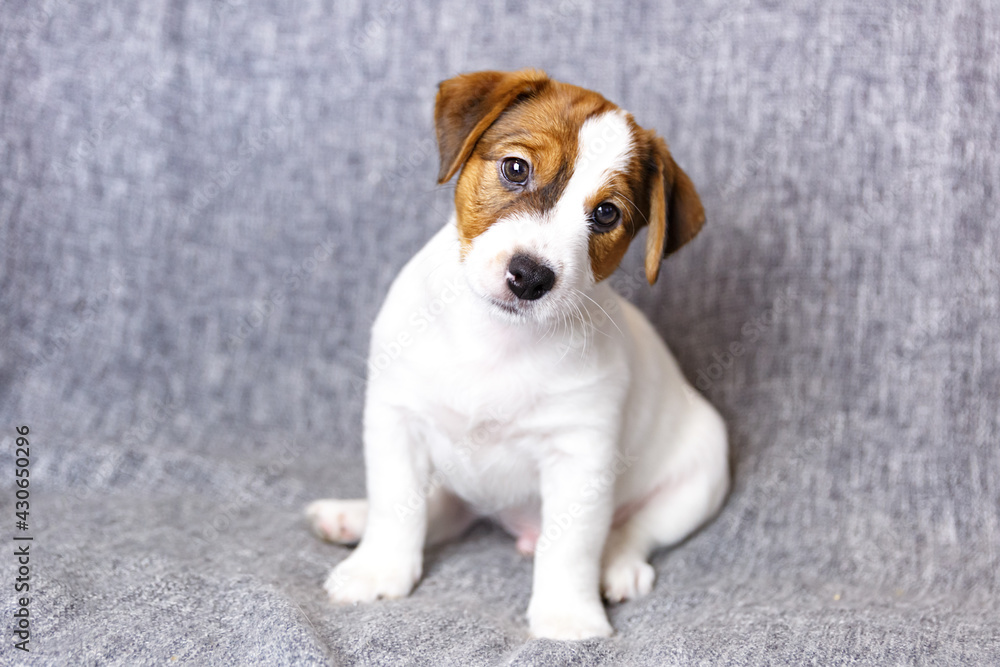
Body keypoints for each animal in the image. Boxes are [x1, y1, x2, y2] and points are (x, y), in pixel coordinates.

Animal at [304, 69, 728, 640]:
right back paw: (351, 517)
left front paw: (567, 617)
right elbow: (398, 505)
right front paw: (378, 570)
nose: (529, 276)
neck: (496, 340)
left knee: (635, 530)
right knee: (440, 507)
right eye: (515, 168)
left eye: (606, 213)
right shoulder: (397, 419)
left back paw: (618, 565)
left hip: (700, 480)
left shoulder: (580, 456)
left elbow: (570, 547)